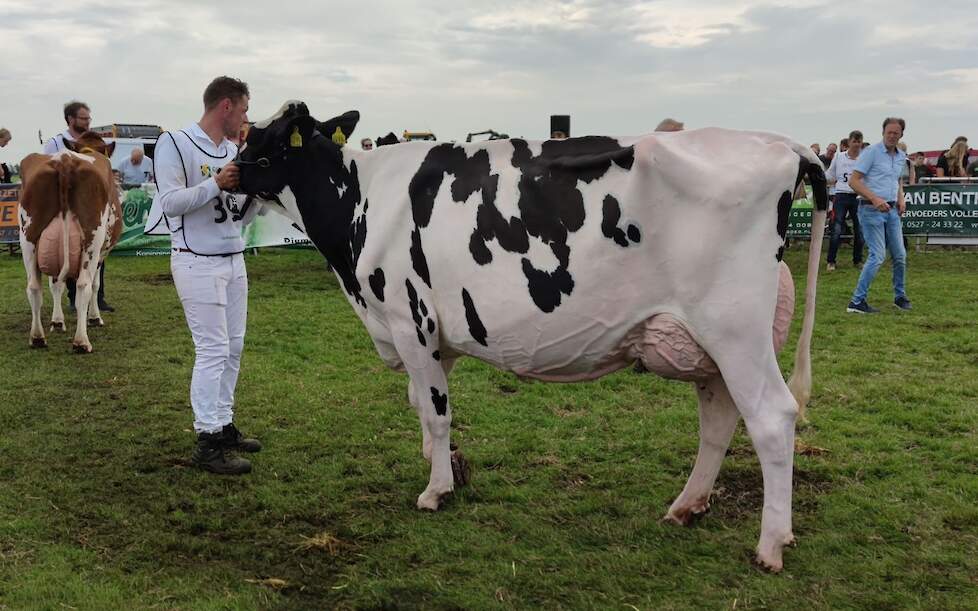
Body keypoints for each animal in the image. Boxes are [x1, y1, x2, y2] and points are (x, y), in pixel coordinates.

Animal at [17, 134, 122, 354]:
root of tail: (65, 160)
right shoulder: (102, 252)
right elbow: (96, 284)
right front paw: (95, 318)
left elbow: (55, 284)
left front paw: (57, 322)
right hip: (92, 238)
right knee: (83, 285)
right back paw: (81, 341)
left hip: (28, 238)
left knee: (34, 286)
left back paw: (37, 337)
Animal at [236, 101, 824, 572]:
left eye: (264, 142)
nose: (223, 173)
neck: (362, 202)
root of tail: (779, 143)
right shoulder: (438, 335)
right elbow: (425, 405)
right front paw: (448, 466)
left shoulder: (409, 319)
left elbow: (435, 410)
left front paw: (435, 491)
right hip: (705, 343)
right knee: (720, 419)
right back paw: (687, 506)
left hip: (734, 327)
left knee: (772, 418)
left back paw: (771, 544)